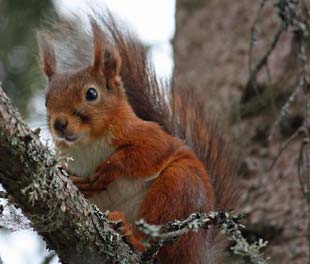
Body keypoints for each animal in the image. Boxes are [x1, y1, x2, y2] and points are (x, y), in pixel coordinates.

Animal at [38, 12, 237, 264]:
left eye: (91, 93)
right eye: (46, 101)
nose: (59, 124)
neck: (87, 144)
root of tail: (197, 253)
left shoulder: (148, 134)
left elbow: (147, 152)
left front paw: (111, 167)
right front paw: (77, 182)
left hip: (177, 189)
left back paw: (130, 235)